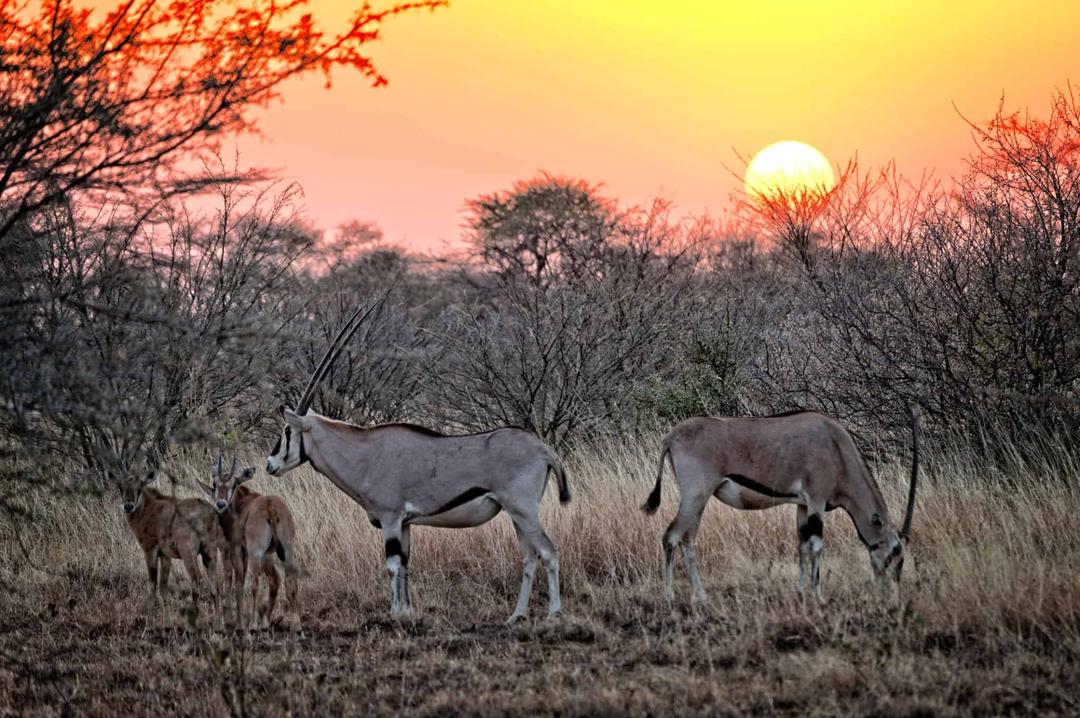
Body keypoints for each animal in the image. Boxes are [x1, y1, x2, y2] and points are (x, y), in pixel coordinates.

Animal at [111, 470, 225, 621]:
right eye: (120, 487)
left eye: (139, 488)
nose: (128, 506)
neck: (147, 509)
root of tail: (208, 514)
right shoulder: (165, 555)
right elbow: (163, 585)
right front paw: (167, 616)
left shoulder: (150, 550)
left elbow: (152, 584)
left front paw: (151, 616)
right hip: (209, 551)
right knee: (214, 585)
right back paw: (217, 619)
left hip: (188, 551)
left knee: (197, 580)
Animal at [203, 455, 302, 630]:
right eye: (215, 484)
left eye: (233, 484)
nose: (220, 504)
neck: (241, 505)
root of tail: (271, 507)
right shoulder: (260, 554)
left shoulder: (237, 549)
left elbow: (239, 583)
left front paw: (239, 623)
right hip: (286, 550)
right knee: (290, 581)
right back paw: (295, 625)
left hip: (255, 553)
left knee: (255, 583)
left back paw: (254, 624)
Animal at [264, 302, 570, 621]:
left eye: (287, 431)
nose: (270, 464)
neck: (365, 454)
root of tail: (544, 450)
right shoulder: (406, 524)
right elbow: (406, 565)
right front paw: (408, 610)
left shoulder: (390, 519)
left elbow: (392, 565)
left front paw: (394, 612)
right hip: (516, 514)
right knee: (529, 557)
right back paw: (516, 616)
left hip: (523, 510)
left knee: (549, 552)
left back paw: (554, 613)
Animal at [639, 408, 920, 600]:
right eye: (896, 550)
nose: (891, 589)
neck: (836, 447)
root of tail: (671, 437)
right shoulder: (817, 501)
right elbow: (816, 546)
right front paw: (818, 597)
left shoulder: (803, 506)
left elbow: (802, 546)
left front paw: (801, 592)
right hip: (695, 495)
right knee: (671, 536)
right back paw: (669, 597)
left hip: (699, 501)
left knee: (688, 540)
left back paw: (702, 595)